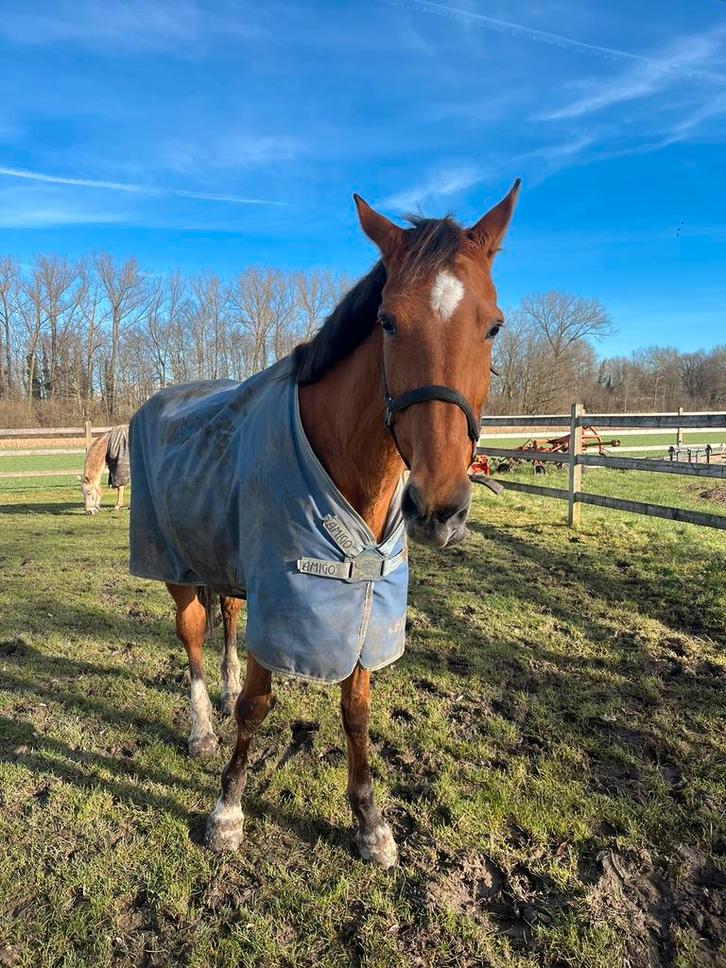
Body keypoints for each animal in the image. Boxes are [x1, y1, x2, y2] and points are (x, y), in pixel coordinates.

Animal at [129, 180, 520, 867]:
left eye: (493, 326)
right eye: (388, 322)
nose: (437, 508)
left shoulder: (362, 602)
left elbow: (356, 710)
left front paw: (370, 824)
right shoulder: (284, 598)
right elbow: (256, 707)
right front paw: (227, 813)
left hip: (228, 568)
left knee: (226, 619)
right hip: (174, 566)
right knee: (193, 634)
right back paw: (202, 727)